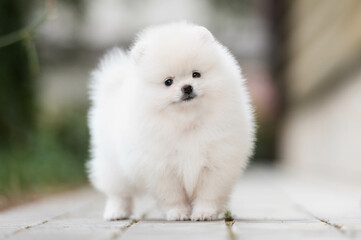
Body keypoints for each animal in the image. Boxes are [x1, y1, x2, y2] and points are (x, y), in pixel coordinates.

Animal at [87, 21, 255, 220]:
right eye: (168, 82)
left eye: (196, 74)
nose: (187, 87)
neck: (187, 123)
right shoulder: (163, 168)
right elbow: (172, 196)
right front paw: (179, 213)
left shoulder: (217, 161)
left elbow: (208, 194)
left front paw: (204, 212)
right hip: (113, 164)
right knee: (119, 192)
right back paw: (116, 212)